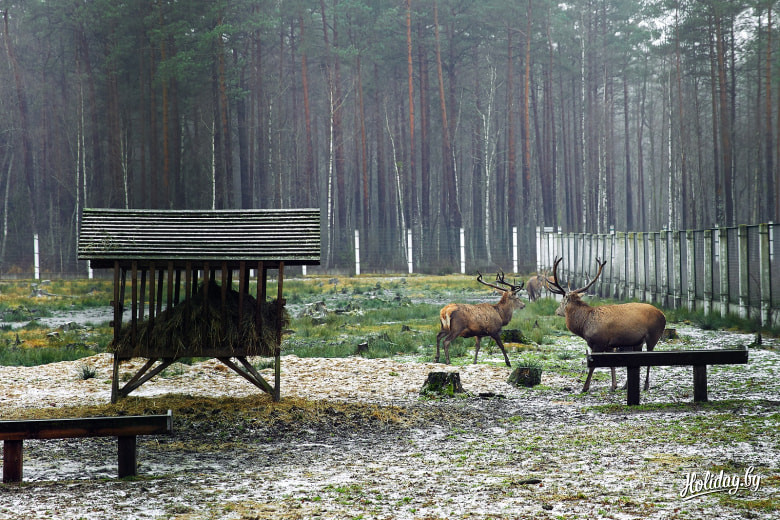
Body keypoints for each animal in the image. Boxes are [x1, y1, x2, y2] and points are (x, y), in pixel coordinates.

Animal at [544, 258, 668, 392]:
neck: (584, 325)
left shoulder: (599, 342)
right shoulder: (609, 345)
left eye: (561, 302)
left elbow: (593, 366)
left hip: (653, 335)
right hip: (638, 342)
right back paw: (625, 385)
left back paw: (646, 385)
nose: (556, 311)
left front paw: (585, 387)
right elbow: (611, 365)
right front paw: (614, 386)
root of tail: (663, 315)